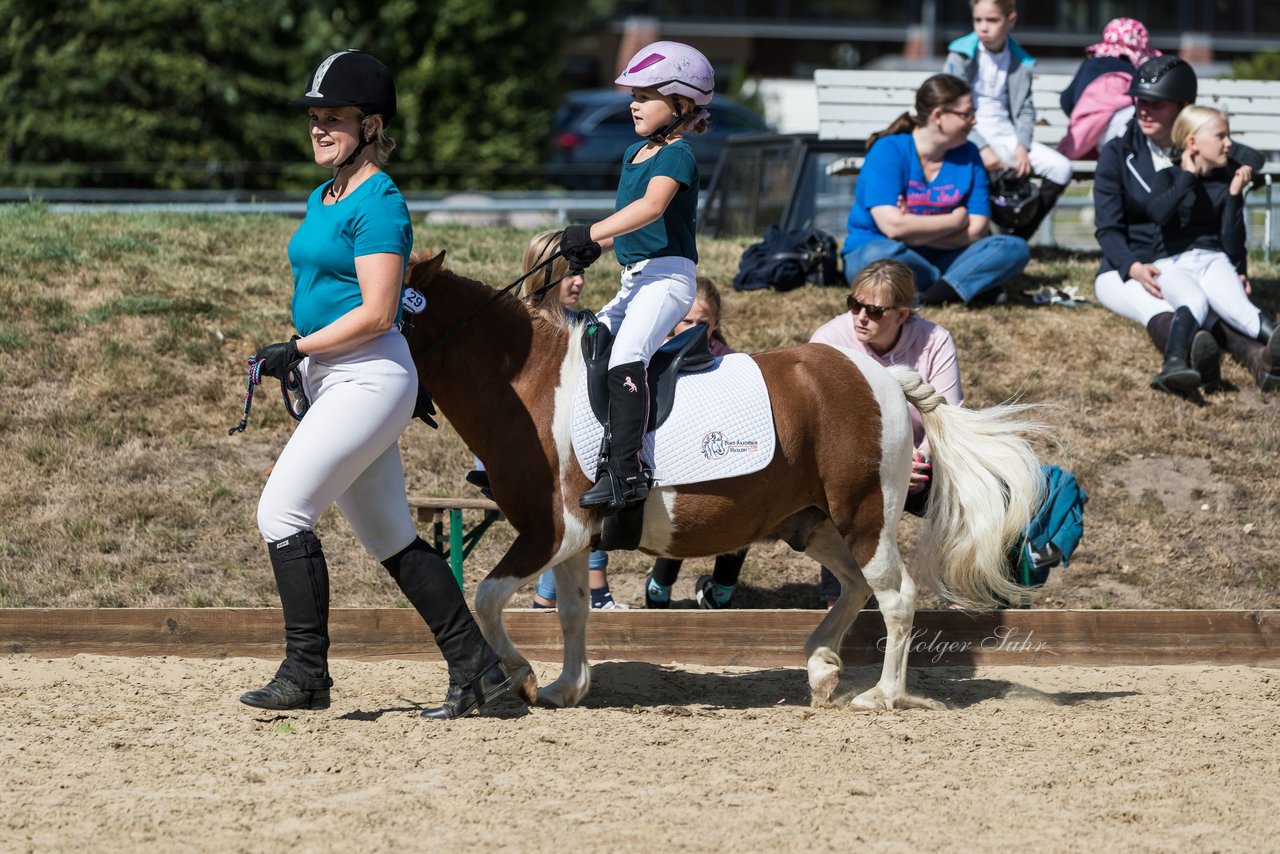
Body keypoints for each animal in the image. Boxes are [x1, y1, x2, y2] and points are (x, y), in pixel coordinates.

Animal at [404, 252, 1044, 706]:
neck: (530, 386)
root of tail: (880, 375)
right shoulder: (573, 540)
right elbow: (571, 611)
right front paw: (567, 687)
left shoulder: (550, 531)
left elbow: (486, 597)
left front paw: (522, 676)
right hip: (811, 524)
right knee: (855, 587)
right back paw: (820, 667)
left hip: (864, 517)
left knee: (895, 595)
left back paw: (882, 694)